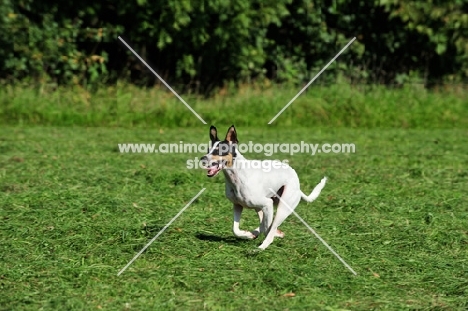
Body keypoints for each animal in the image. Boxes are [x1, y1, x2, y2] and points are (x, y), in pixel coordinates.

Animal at [199, 125, 328, 250]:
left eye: (220, 150)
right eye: (208, 150)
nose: (202, 159)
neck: (237, 176)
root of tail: (297, 182)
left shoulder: (267, 204)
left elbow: (266, 227)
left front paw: (259, 233)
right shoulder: (238, 205)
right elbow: (235, 229)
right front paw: (248, 234)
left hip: (282, 208)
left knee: (271, 227)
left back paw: (261, 247)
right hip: (260, 207)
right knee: (265, 223)